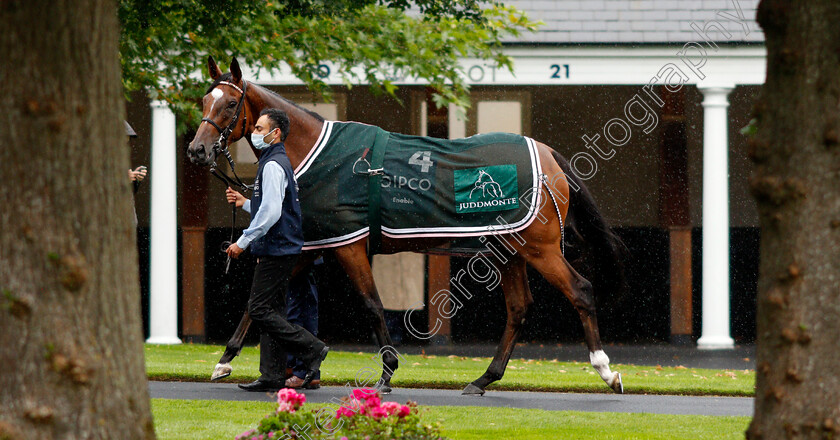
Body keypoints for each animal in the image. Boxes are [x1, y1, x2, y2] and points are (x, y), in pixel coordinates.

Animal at [187, 56, 628, 398]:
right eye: (204, 99)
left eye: (230, 103)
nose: (197, 150)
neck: (318, 152)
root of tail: (548, 153)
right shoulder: (314, 245)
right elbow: (255, 304)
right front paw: (225, 361)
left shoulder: (346, 244)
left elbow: (372, 304)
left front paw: (386, 374)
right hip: (509, 251)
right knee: (519, 308)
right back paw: (484, 378)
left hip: (540, 248)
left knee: (580, 291)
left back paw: (606, 370)